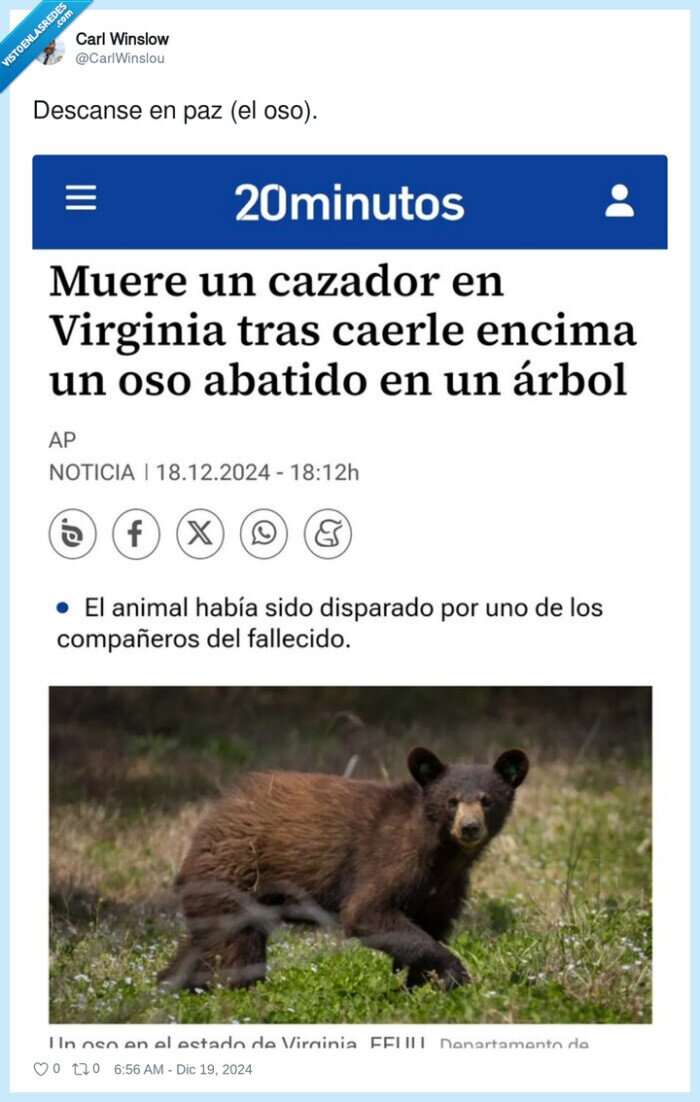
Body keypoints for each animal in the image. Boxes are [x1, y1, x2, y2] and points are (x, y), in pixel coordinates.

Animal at [158, 745, 529, 992]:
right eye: (452, 801)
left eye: (487, 800)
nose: (469, 828)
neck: (442, 852)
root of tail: (208, 821)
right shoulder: (391, 858)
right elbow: (368, 912)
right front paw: (455, 974)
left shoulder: (446, 887)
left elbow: (432, 925)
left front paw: (418, 986)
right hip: (233, 880)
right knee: (237, 948)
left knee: (201, 948)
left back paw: (171, 987)